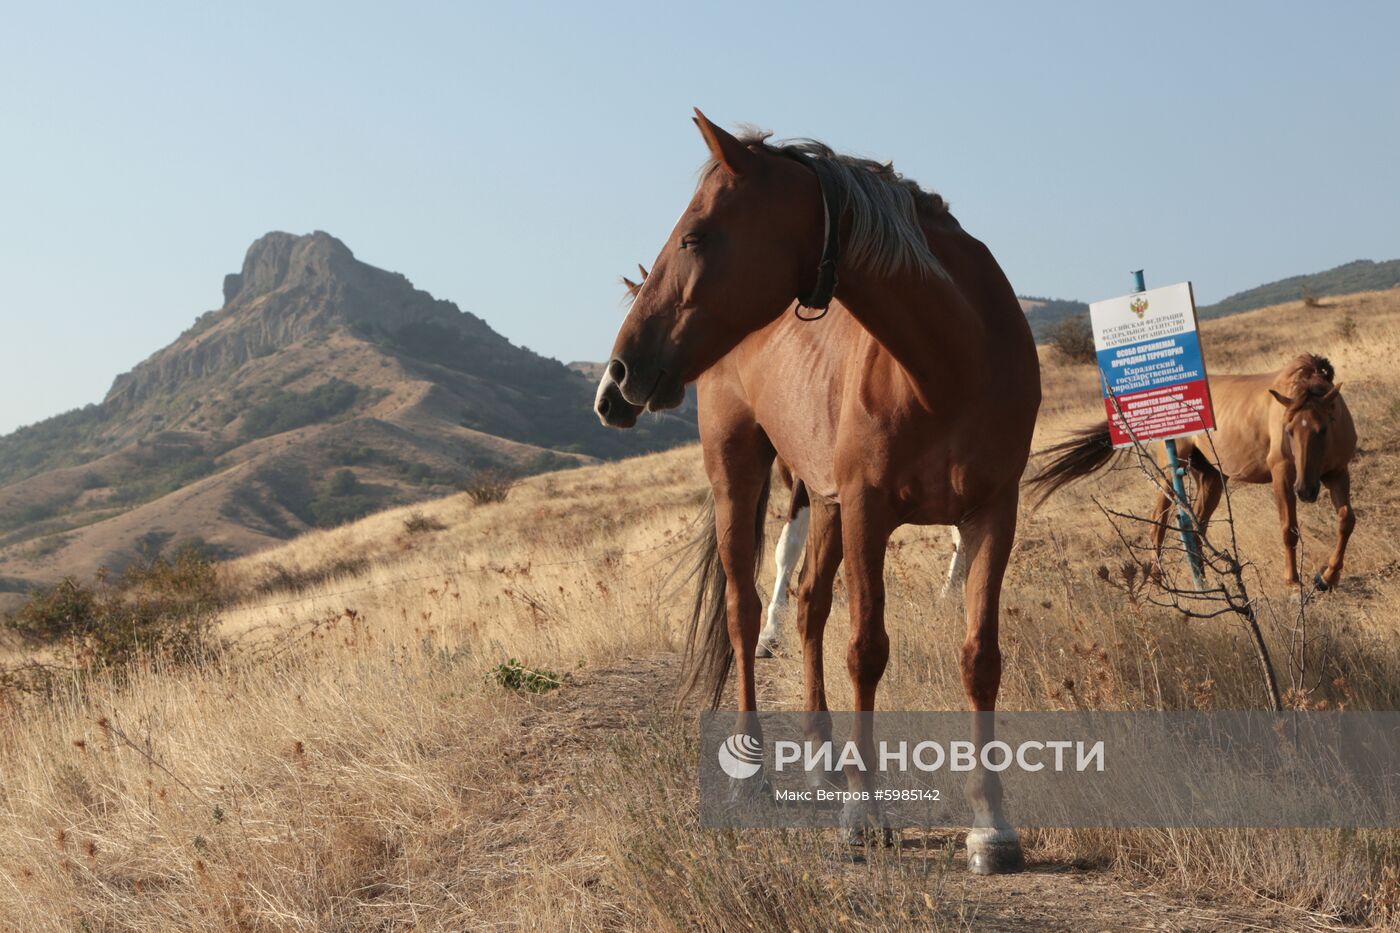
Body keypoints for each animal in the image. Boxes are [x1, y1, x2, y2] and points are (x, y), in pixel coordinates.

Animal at [590, 112, 1041, 868]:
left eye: (695, 236)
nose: (619, 374)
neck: (951, 363)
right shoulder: (867, 508)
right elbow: (867, 649)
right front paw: (865, 815)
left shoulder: (991, 512)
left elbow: (980, 657)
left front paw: (992, 825)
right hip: (742, 474)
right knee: (747, 612)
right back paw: (757, 769)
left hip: (823, 500)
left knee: (805, 605)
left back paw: (827, 760)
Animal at [1030, 355, 1355, 588]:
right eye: (1288, 430)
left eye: (1323, 429)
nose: (1306, 490)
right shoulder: (1283, 474)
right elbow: (1289, 528)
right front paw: (1293, 581)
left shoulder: (1338, 472)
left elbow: (1346, 521)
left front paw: (1327, 577)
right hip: (1169, 473)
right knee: (1158, 522)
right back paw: (1159, 579)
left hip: (1211, 477)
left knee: (1198, 524)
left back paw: (1204, 578)